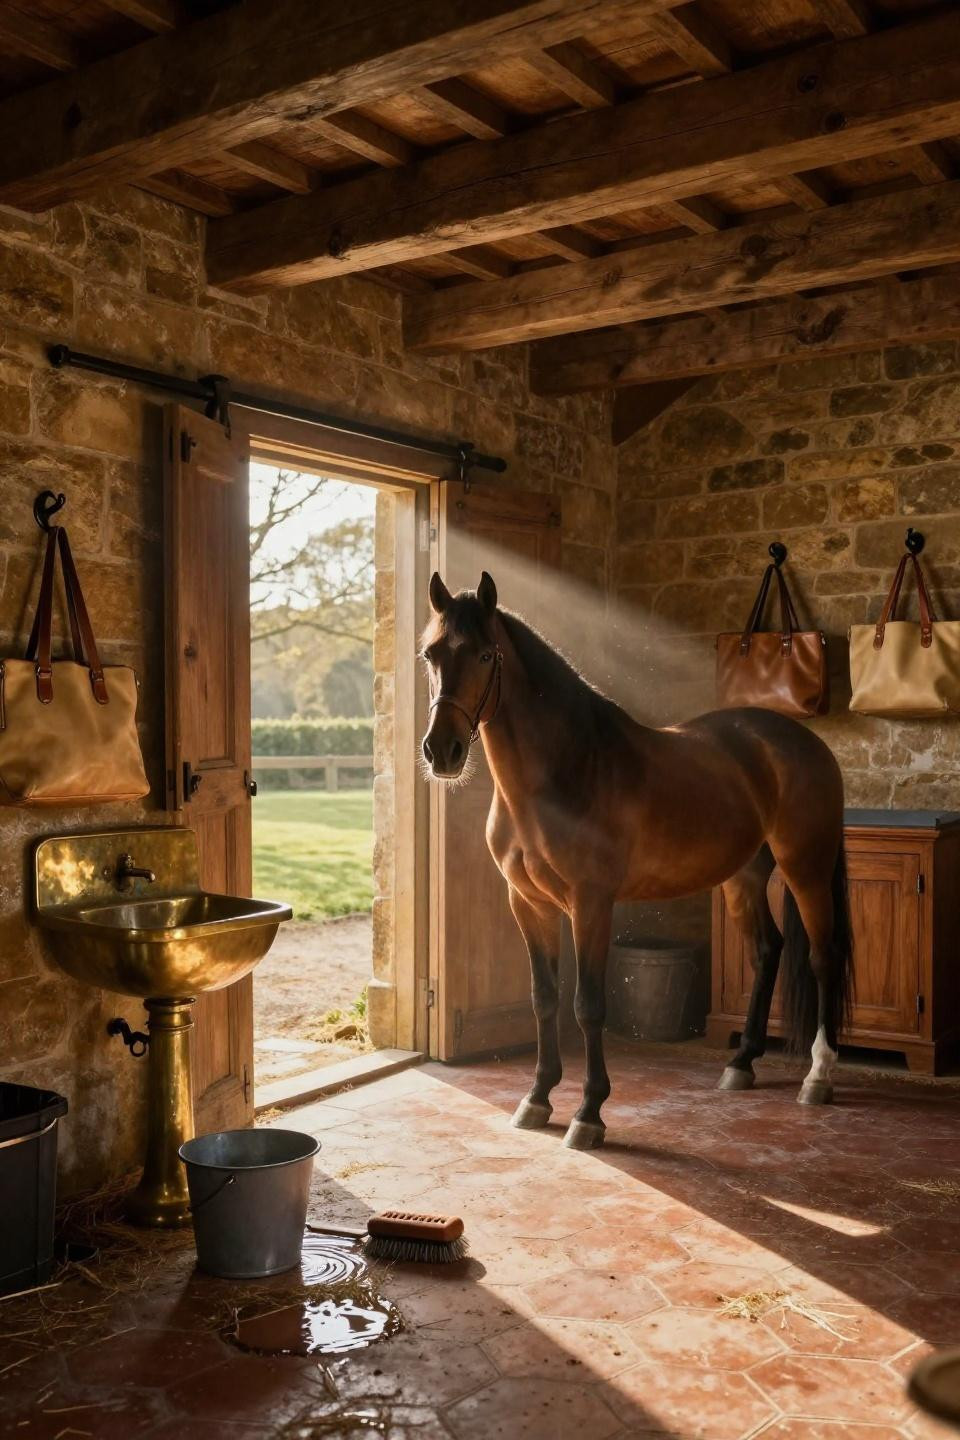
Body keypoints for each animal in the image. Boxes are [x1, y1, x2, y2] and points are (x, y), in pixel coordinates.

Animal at [419, 570, 854, 1151]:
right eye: (430, 654)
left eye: (487, 655)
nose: (440, 751)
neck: (566, 770)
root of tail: (804, 742)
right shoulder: (529, 904)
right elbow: (544, 999)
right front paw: (537, 1098)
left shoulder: (591, 905)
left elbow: (588, 1005)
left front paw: (589, 1113)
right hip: (742, 878)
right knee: (768, 952)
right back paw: (741, 1064)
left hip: (806, 868)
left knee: (823, 957)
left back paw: (819, 1076)